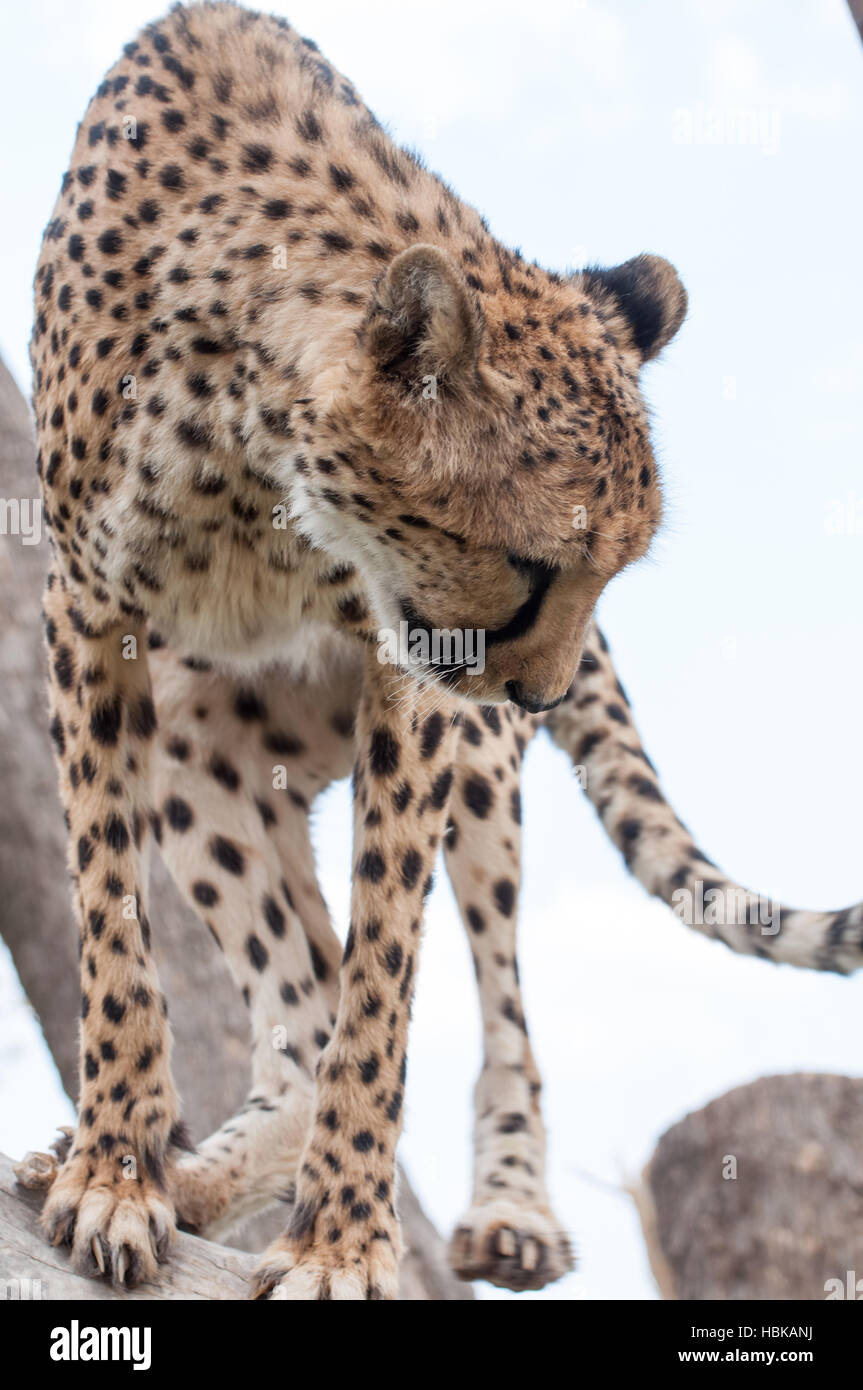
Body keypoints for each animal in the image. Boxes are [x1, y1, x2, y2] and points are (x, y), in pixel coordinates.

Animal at [26, 2, 861, 1301]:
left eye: (612, 566)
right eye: (533, 563)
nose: (542, 690)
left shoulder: (409, 676)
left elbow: (383, 984)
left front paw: (339, 1241)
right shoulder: (88, 602)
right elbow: (114, 924)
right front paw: (117, 1172)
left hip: (471, 773)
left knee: (490, 994)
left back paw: (505, 1207)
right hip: (202, 756)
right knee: (297, 1016)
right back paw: (182, 1174)